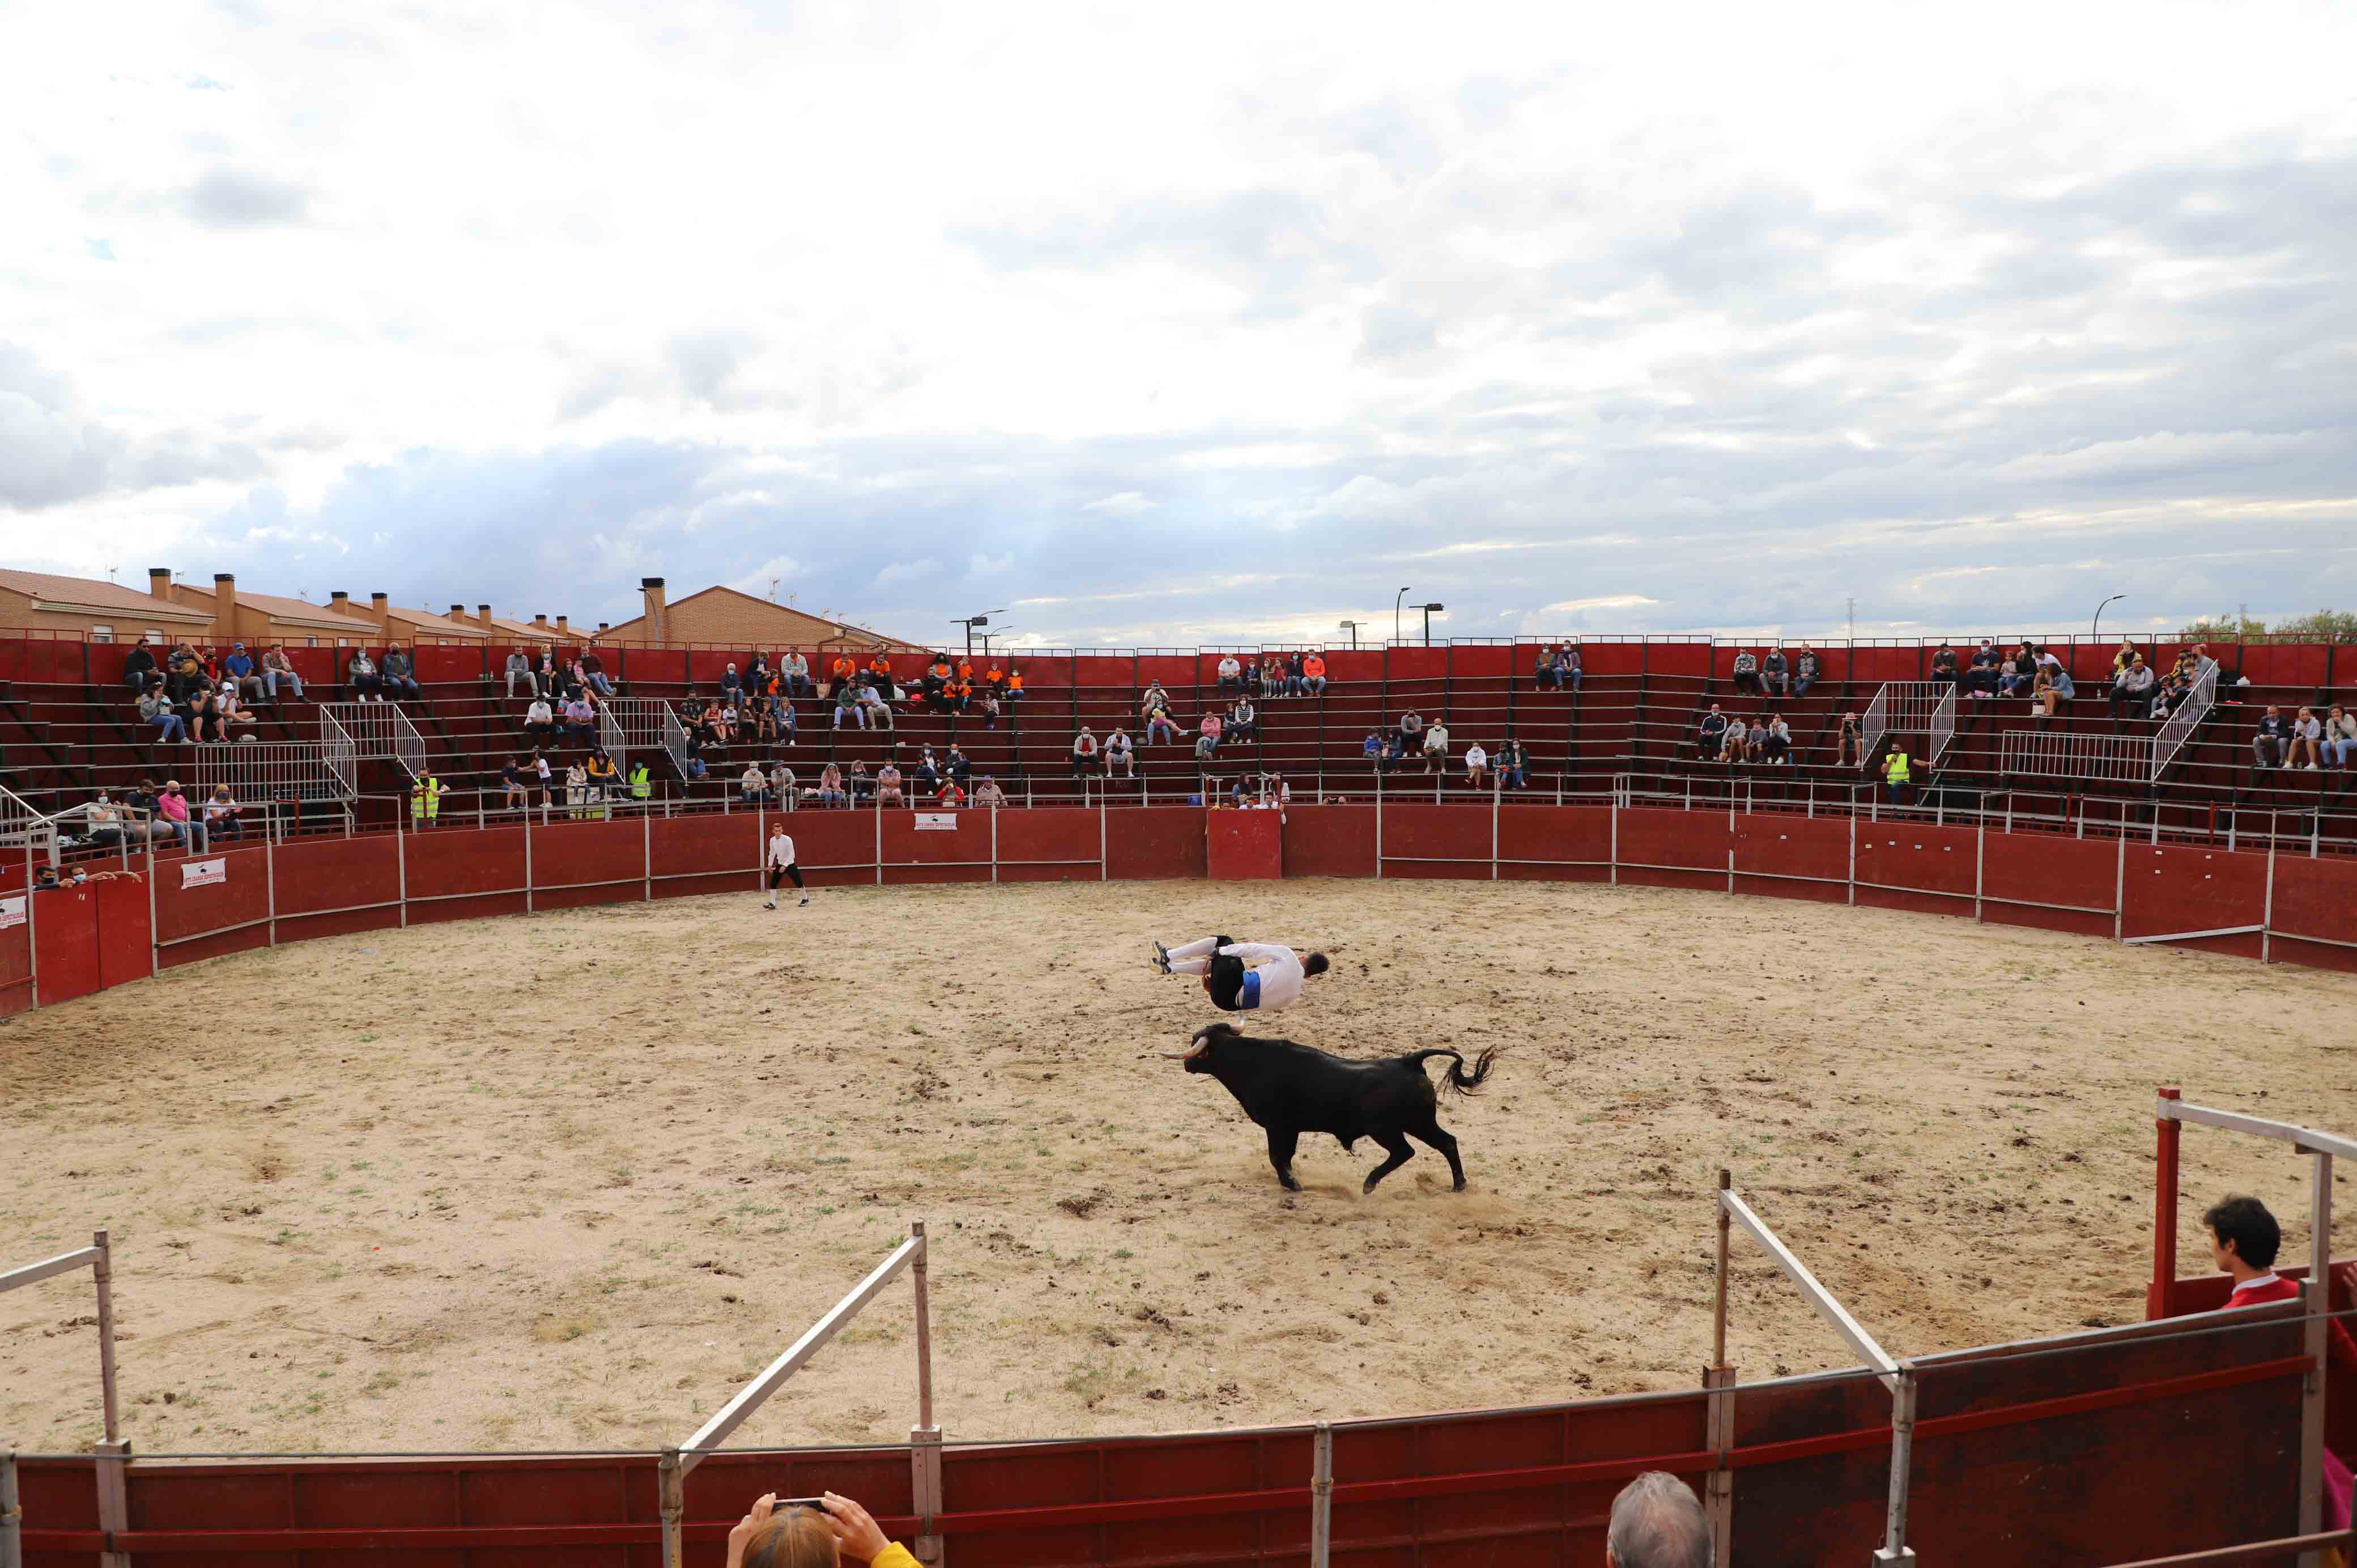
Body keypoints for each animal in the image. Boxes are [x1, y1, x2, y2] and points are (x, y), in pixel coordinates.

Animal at [1169, 1023, 1499, 1193]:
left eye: (1196, 1046)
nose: (1186, 1064)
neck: (1251, 1063)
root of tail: (1410, 1061)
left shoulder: (1278, 1126)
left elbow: (1277, 1157)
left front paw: (1292, 1185)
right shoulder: (1290, 1129)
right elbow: (1285, 1157)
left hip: (1388, 1129)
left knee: (1406, 1152)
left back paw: (1369, 1183)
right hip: (1420, 1123)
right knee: (1447, 1142)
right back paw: (1459, 1185)